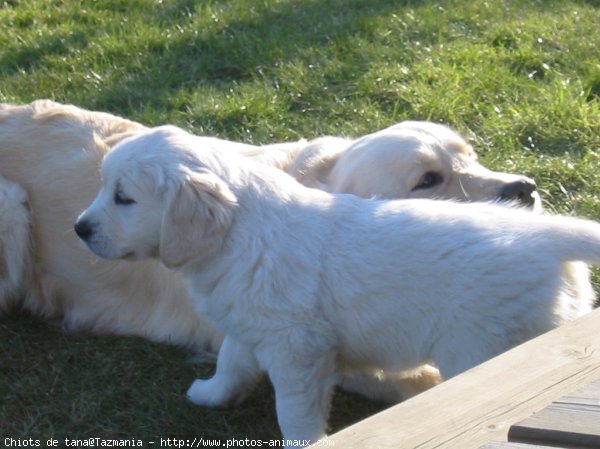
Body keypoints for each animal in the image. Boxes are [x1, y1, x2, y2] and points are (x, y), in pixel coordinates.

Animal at [74, 124, 596, 442]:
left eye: (124, 198)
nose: (79, 229)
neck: (240, 232)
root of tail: (547, 236)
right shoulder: (250, 327)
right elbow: (231, 365)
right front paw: (209, 394)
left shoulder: (297, 349)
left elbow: (294, 412)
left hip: (480, 347)